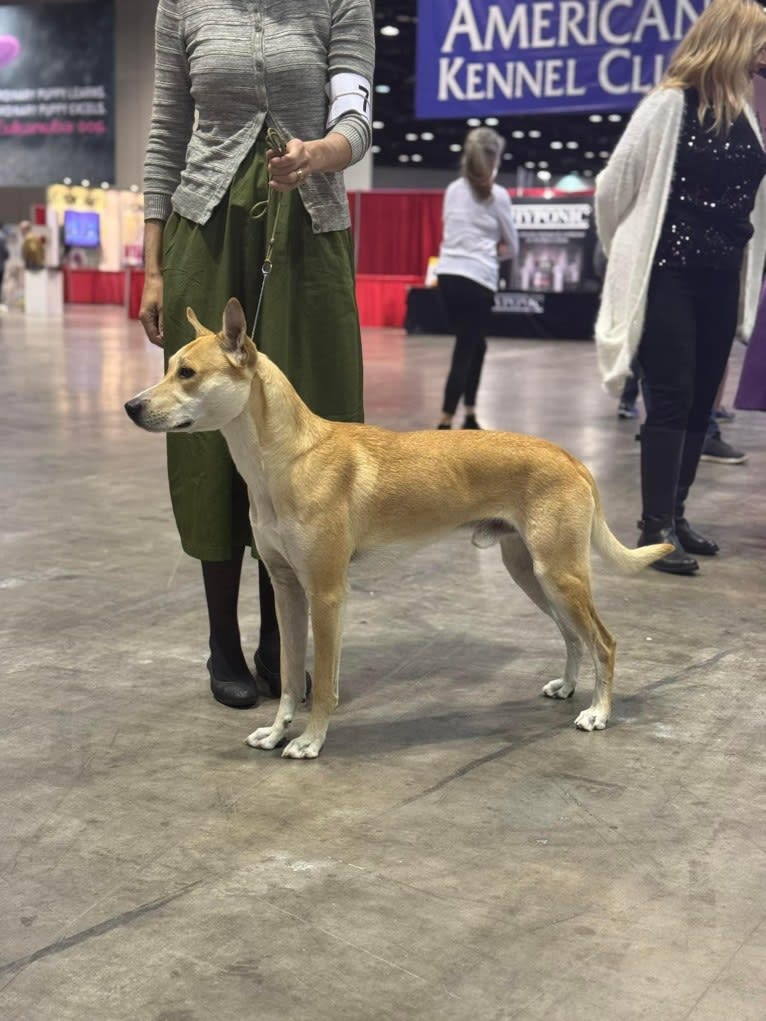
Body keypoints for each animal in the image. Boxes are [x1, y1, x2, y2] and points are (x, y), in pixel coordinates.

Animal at [129, 296, 674, 759]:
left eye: (188, 373)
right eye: (170, 366)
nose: (132, 407)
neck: (288, 458)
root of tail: (571, 458)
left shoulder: (326, 593)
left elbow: (322, 683)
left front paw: (310, 741)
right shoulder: (285, 586)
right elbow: (288, 676)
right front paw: (276, 730)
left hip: (560, 573)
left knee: (603, 642)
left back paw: (598, 713)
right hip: (530, 572)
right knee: (573, 636)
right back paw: (567, 688)